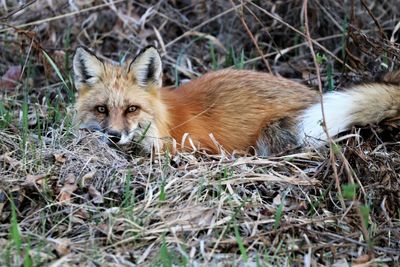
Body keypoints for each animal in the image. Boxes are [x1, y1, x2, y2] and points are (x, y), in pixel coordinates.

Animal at [73, 45, 398, 155]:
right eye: (101, 109)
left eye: (132, 109)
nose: (114, 137)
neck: (166, 121)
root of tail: (314, 96)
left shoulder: (194, 148)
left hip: (276, 135)